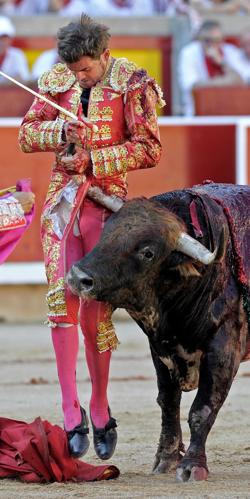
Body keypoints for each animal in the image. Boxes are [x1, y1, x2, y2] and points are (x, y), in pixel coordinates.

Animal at [67, 183, 250, 480]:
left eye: (148, 252)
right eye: (106, 231)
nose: (77, 277)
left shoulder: (223, 349)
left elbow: (202, 408)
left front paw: (192, 466)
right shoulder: (160, 349)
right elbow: (168, 403)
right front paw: (166, 459)